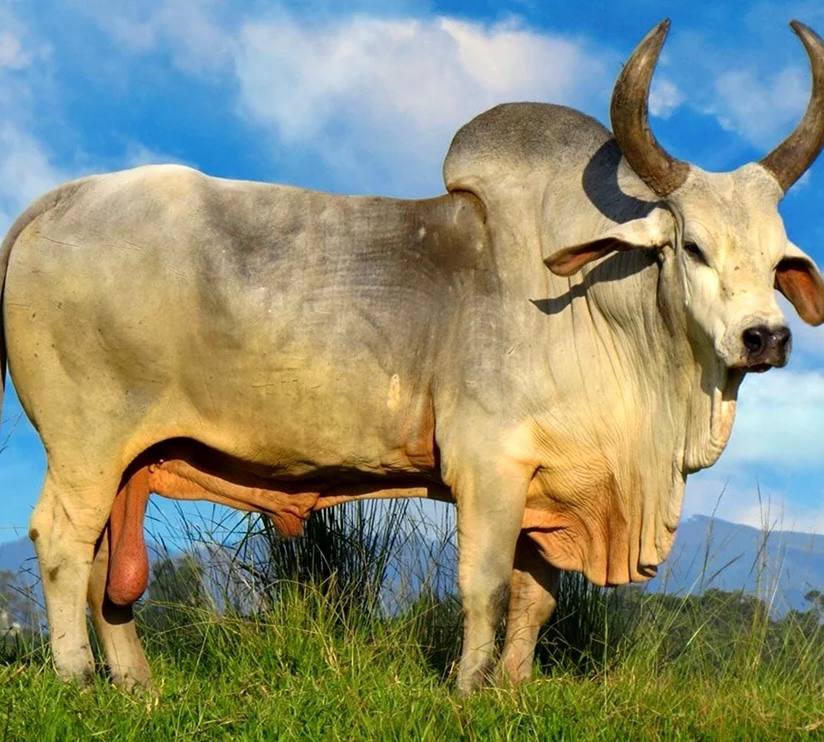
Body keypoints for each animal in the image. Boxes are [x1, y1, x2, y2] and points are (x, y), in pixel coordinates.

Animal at [2, 19, 823, 694]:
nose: (766, 338)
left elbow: (536, 598)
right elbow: (485, 586)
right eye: (692, 247)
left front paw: (514, 686)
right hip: (84, 443)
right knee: (63, 544)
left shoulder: (548, 484)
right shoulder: (488, 467)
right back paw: (77, 678)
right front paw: (468, 687)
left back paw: (135, 682)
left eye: (780, 257)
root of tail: (56, 201)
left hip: (126, 460)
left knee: (106, 564)